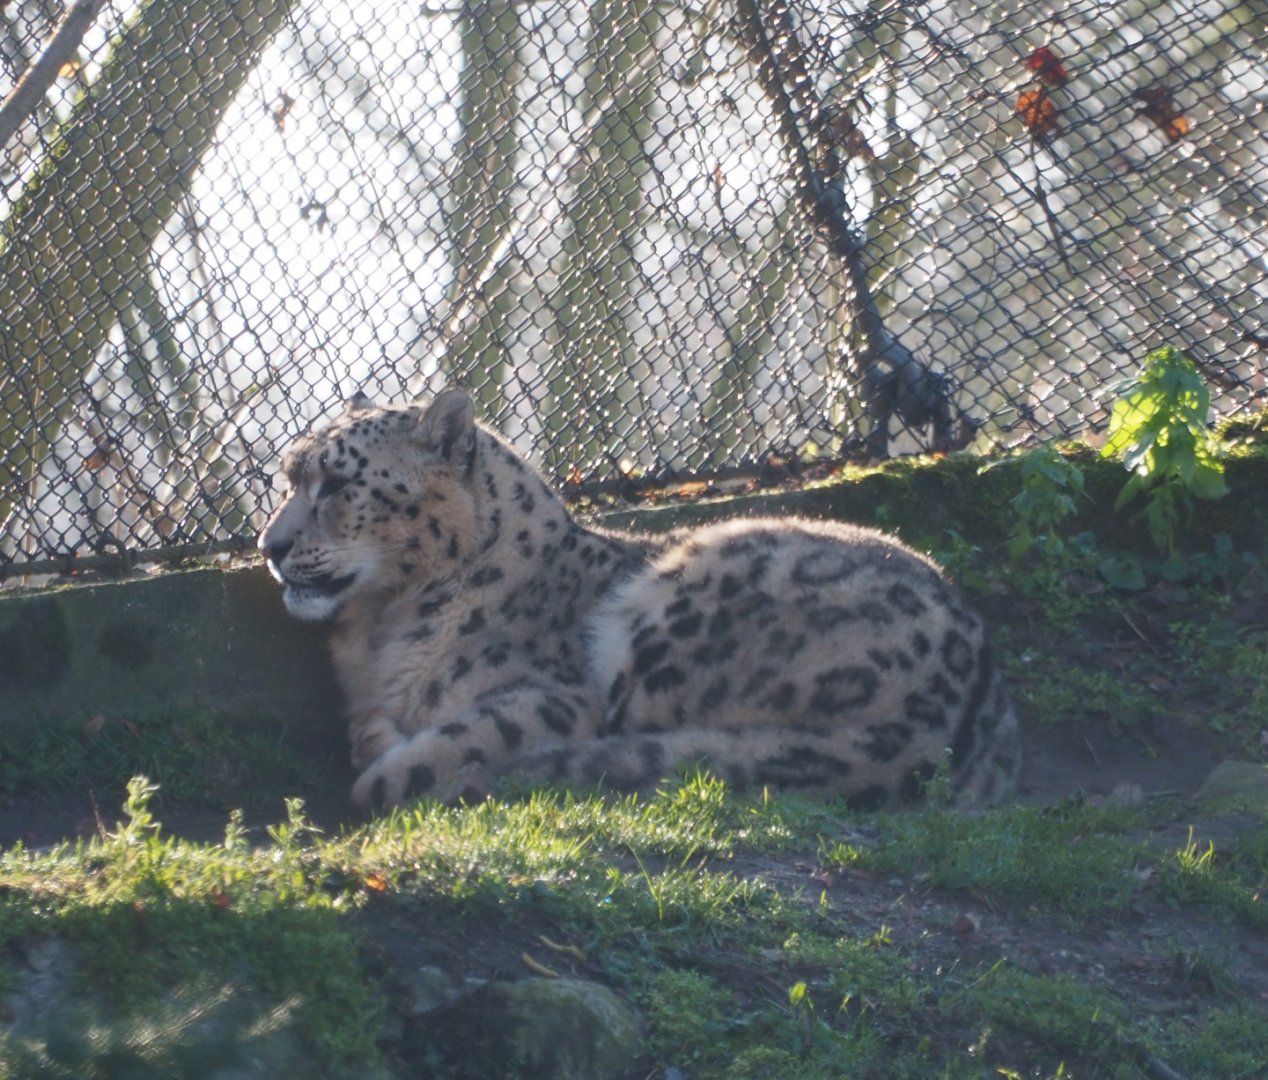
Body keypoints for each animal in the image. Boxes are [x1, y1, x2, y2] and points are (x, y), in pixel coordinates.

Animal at [258, 388, 1020, 812]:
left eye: (338, 484)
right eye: (289, 475)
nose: (270, 545)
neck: (381, 627)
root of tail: (958, 706)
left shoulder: (557, 697)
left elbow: (456, 739)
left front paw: (389, 759)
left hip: (671, 618)